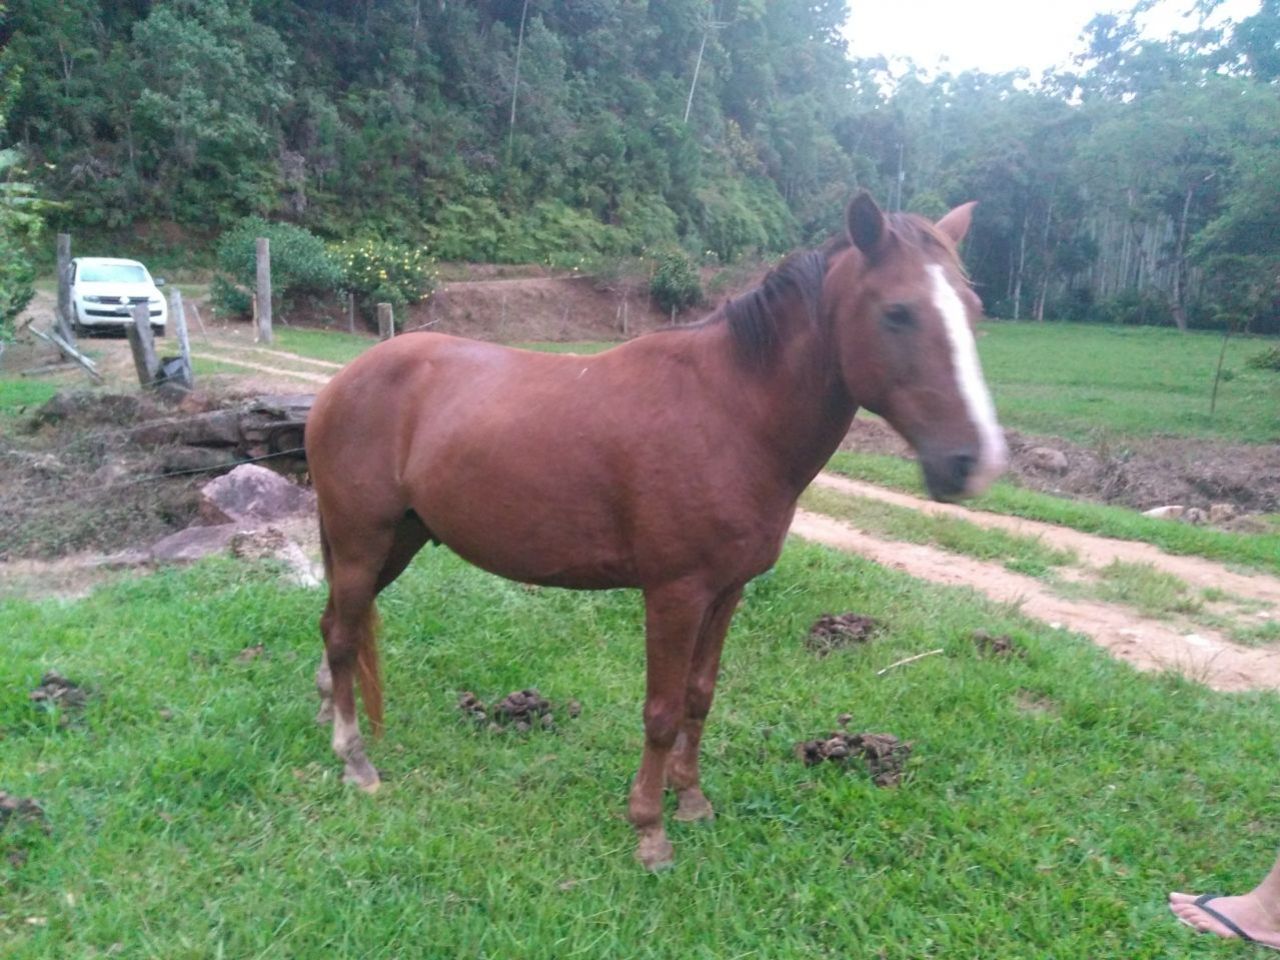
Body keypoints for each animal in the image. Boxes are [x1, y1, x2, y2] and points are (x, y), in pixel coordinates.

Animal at [304, 191, 1007, 870]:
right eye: (898, 312)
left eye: (973, 311)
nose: (974, 463)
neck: (731, 413)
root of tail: (341, 383)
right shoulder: (675, 593)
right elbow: (662, 710)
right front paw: (649, 829)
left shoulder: (727, 592)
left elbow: (699, 695)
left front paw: (690, 798)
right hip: (364, 542)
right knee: (341, 633)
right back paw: (355, 760)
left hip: (396, 542)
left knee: (338, 626)